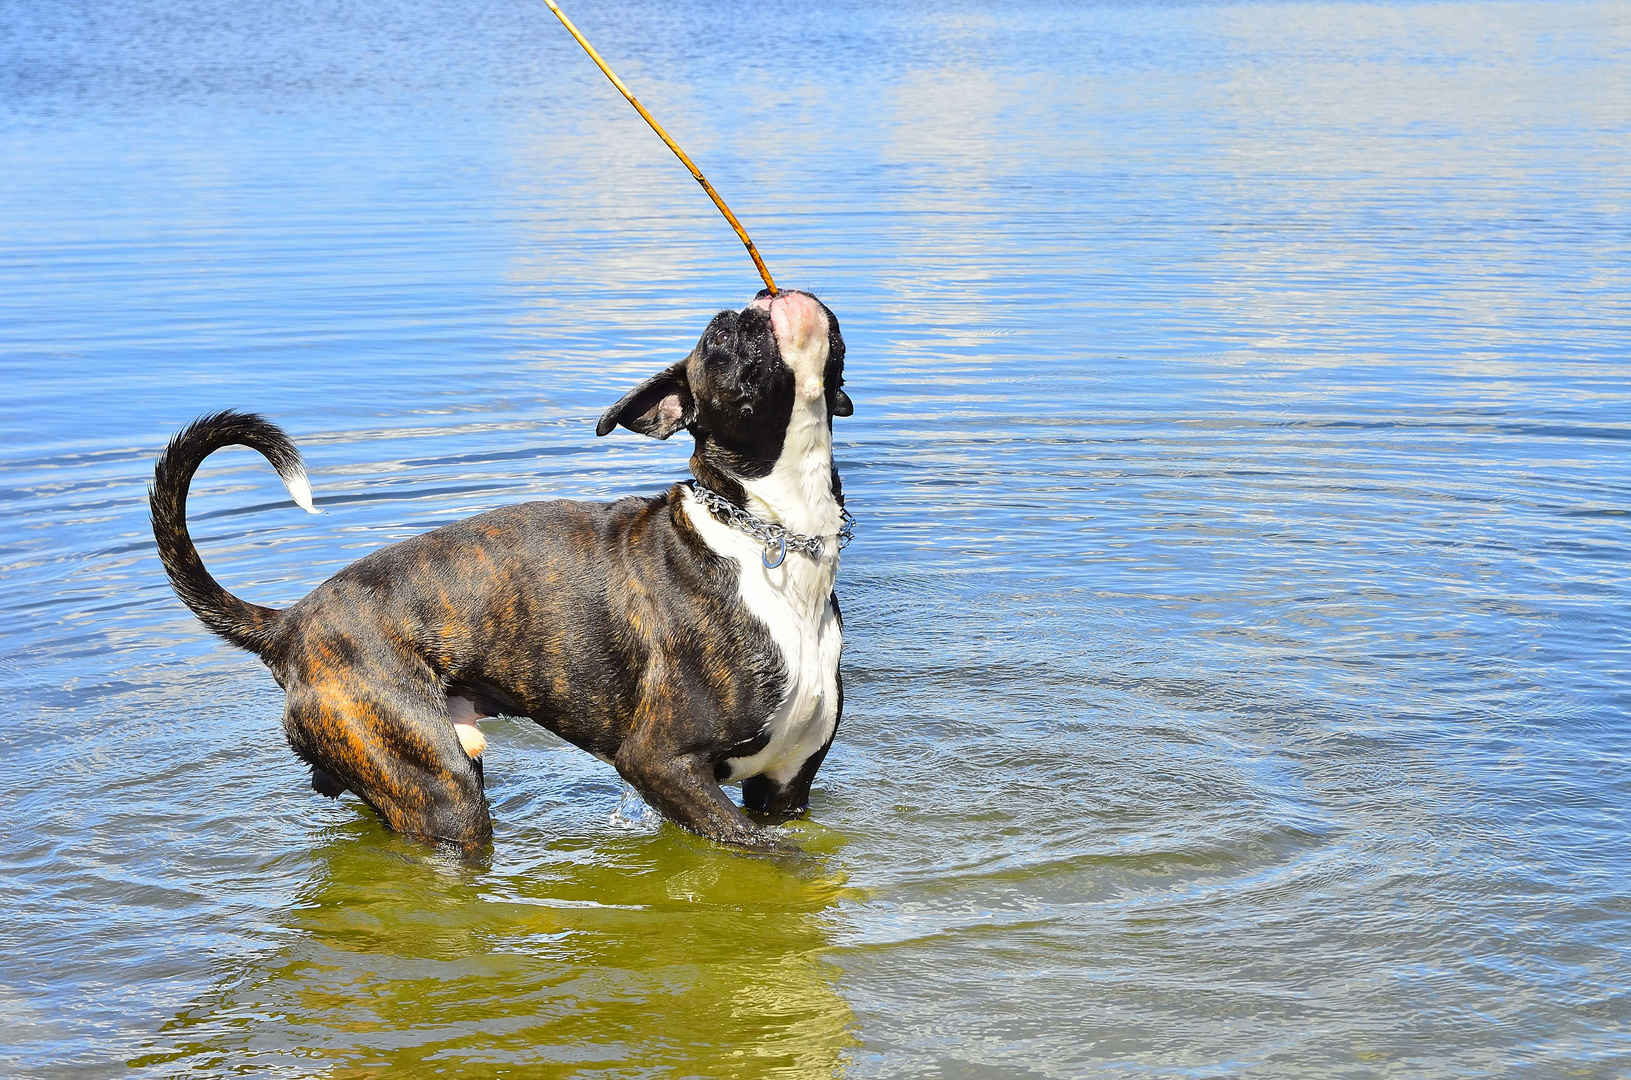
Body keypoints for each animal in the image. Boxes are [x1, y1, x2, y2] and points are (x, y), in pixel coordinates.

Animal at [153, 290, 854, 854]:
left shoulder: (786, 789)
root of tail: (291, 622)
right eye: (717, 338)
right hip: (440, 789)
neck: (771, 538)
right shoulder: (662, 764)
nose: (759, 298)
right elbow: (775, 857)